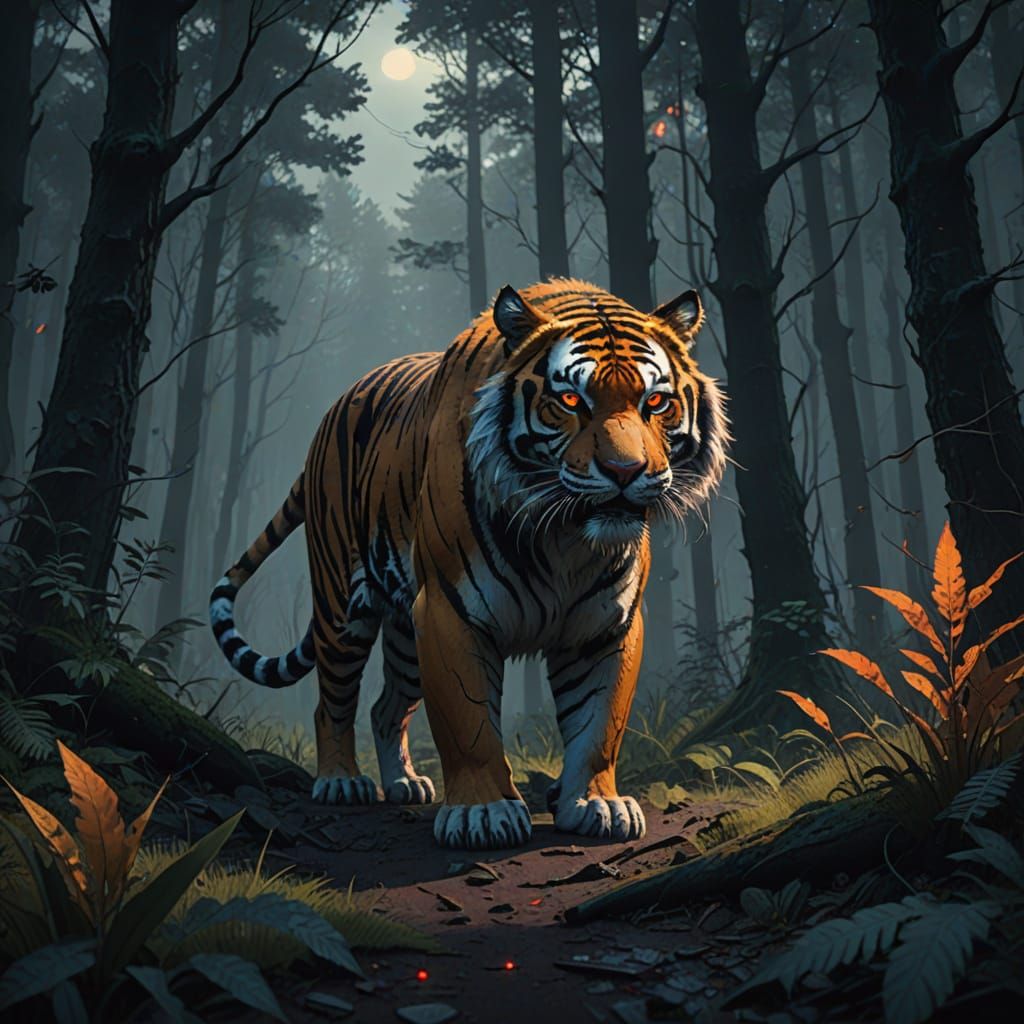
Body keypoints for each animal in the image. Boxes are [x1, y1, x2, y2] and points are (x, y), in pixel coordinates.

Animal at [209, 278, 727, 850]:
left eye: (655, 401)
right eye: (571, 400)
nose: (625, 471)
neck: (565, 538)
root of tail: (332, 411)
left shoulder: (605, 624)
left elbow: (599, 723)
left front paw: (598, 804)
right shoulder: (449, 612)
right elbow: (469, 722)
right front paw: (483, 813)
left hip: (405, 634)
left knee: (385, 707)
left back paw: (406, 783)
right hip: (342, 609)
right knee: (333, 700)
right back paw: (342, 782)